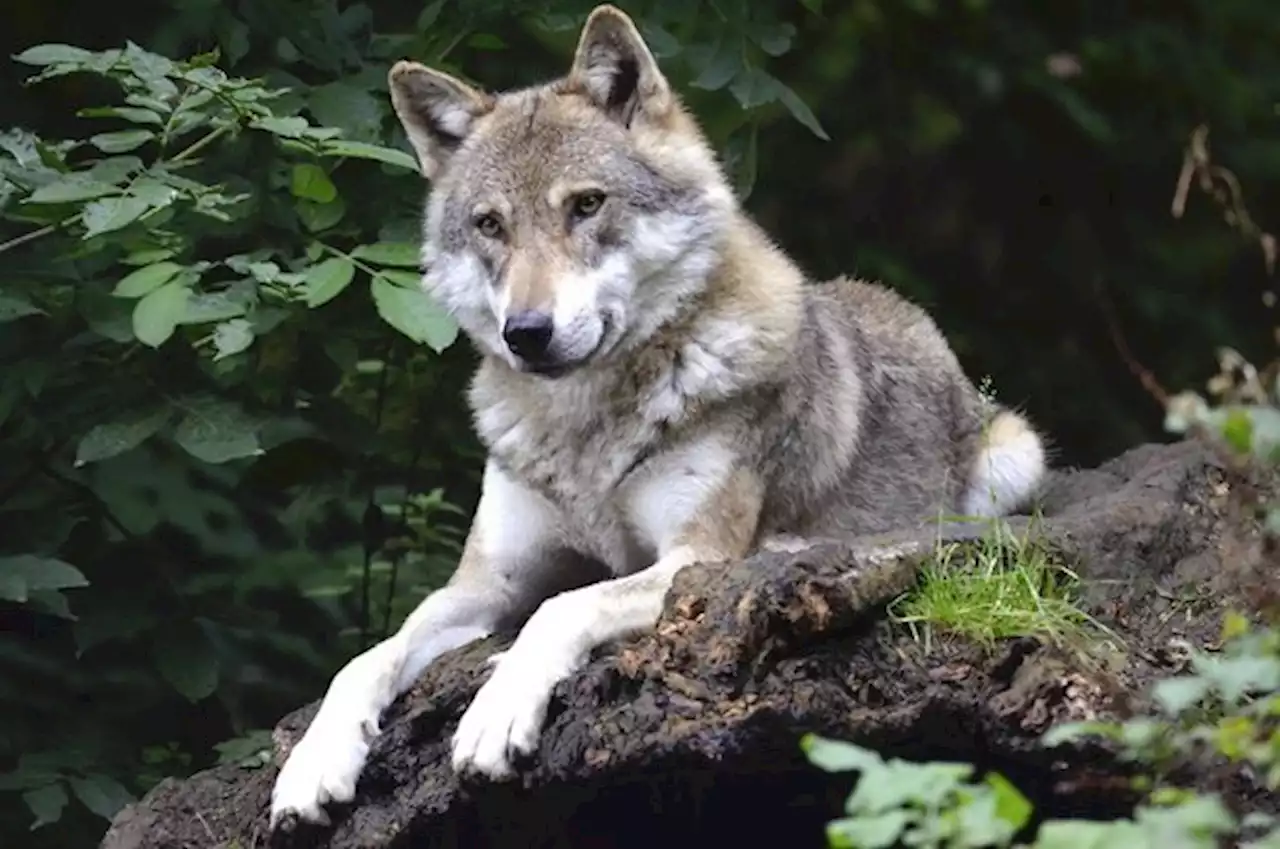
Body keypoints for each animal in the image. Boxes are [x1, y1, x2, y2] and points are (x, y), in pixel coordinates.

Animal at [264, 4, 1044, 829]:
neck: (585, 430)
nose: (526, 332)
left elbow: (562, 607)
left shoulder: (687, 557)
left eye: (585, 204)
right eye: (490, 225)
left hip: (1013, 458)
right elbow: (365, 657)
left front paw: (494, 712)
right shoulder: (483, 584)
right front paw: (313, 763)